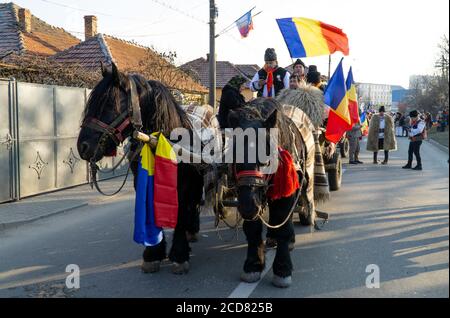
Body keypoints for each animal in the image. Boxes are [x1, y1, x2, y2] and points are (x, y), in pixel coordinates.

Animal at [78, 63, 204, 274]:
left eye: (108, 104)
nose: (83, 147)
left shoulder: (184, 186)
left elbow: (180, 214)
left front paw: (179, 255)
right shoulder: (142, 181)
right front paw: (153, 253)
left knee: (192, 206)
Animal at [225, 98, 306, 286]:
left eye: (266, 156)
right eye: (235, 156)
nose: (248, 207)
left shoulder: (286, 195)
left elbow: (283, 225)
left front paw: (283, 268)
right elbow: (252, 229)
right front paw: (253, 265)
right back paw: (271, 238)